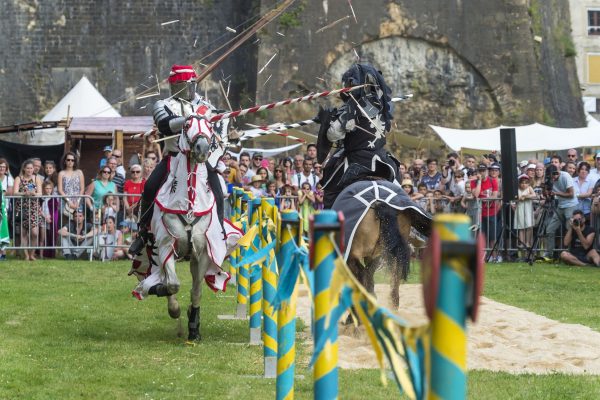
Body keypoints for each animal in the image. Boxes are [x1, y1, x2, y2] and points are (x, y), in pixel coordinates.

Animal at [132, 110, 240, 340]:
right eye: (186, 125)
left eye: (210, 126)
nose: (202, 149)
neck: (189, 205)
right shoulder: (166, 246)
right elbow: (172, 285)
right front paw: (172, 306)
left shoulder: (204, 253)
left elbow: (196, 291)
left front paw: (193, 327)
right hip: (154, 250)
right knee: (162, 276)